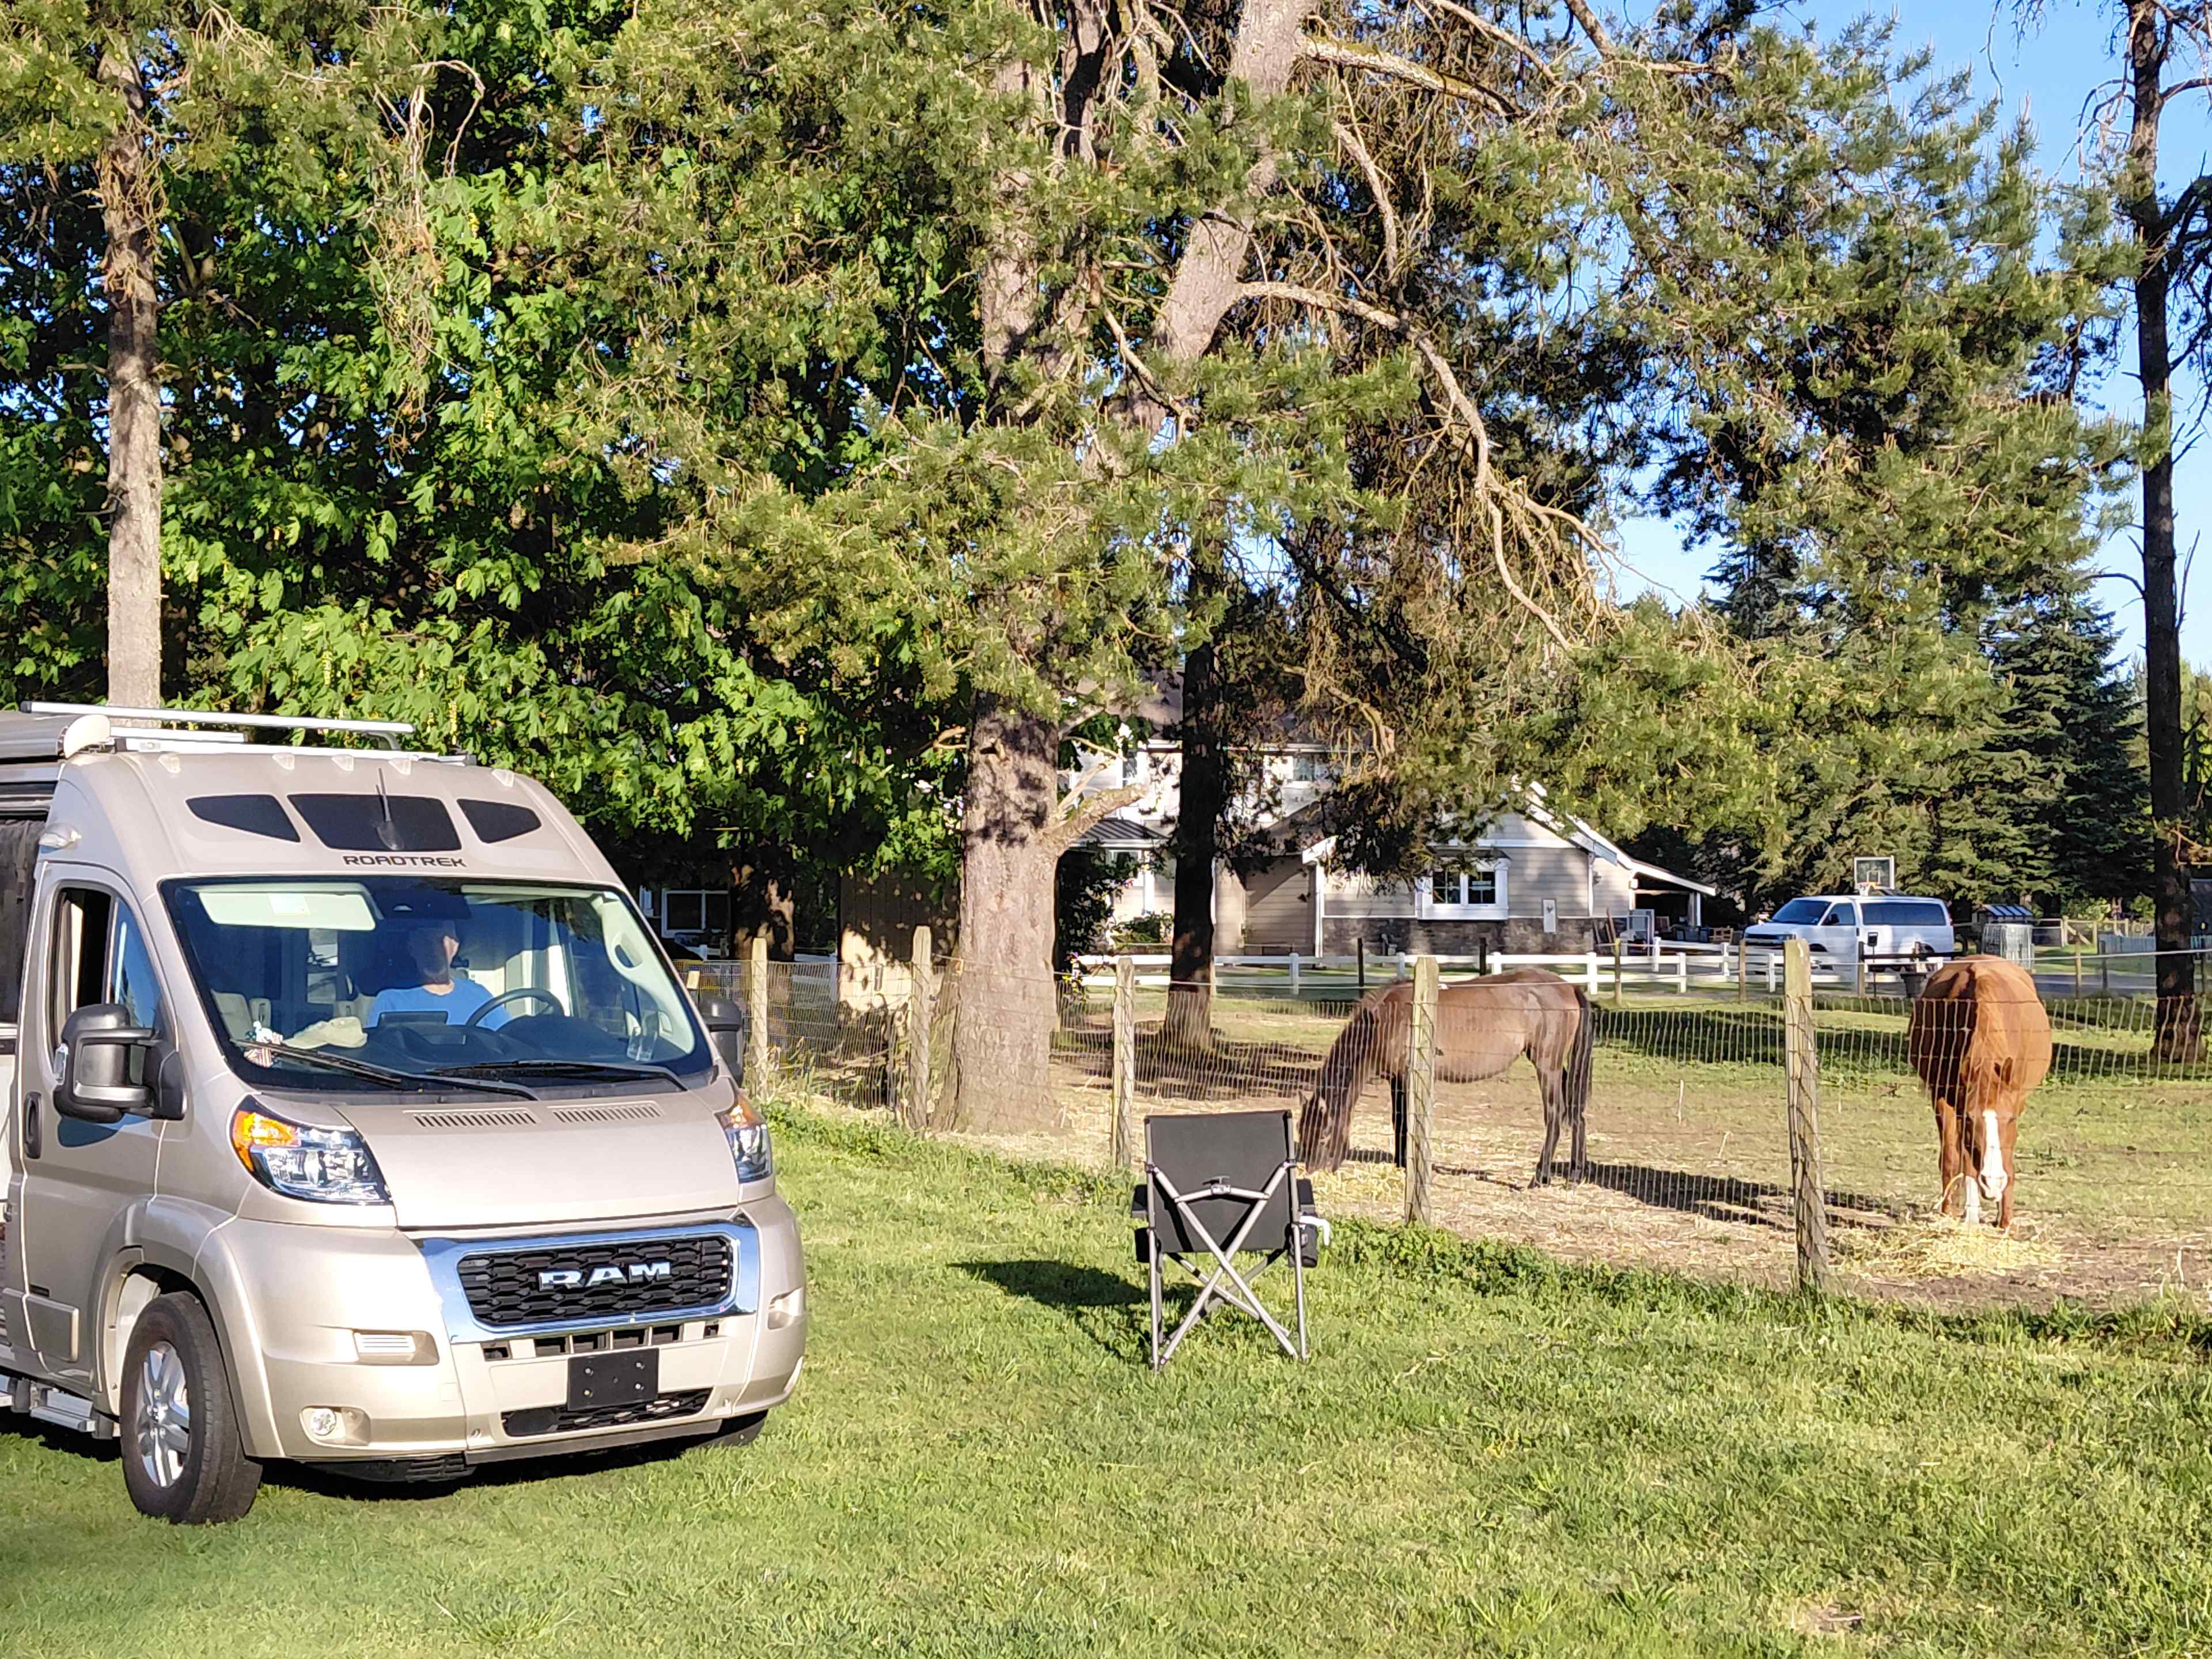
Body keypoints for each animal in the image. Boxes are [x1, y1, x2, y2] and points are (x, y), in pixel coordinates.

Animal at [1298, 968, 1595, 1183]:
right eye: (1302, 1131)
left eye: (1324, 1134)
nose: (1311, 1170)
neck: (1386, 1020)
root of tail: (1568, 987)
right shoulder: (1396, 1079)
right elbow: (1398, 1121)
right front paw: (1400, 1163)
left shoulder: (1408, 1077)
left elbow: (1406, 1122)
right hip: (1558, 1068)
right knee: (1577, 1113)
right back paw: (1576, 1174)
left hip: (1547, 1066)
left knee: (1555, 1114)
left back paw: (1540, 1177)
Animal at [1905, 955, 2051, 1228]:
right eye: (1971, 1120)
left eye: (2010, 1118)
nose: (1992, 1183)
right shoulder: (1945, 1099)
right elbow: (1953, 1159)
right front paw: (1958, 1214)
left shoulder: (2016, 1101)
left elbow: (2007, 1158)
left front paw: (2006, 1221)